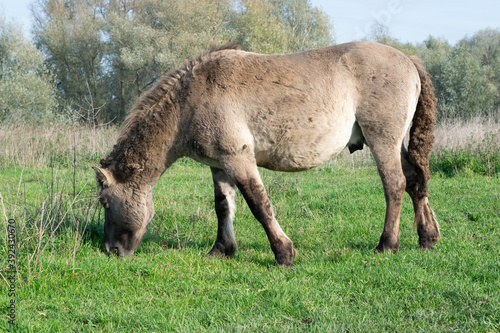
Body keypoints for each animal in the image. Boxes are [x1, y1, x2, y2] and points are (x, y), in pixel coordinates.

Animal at [93, 41, 438, 266]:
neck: (189, 102)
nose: (110, 250)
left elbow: (259, 204)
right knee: (415, 181)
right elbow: (223, 207)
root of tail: (408, 59)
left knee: (394, 185)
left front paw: (283, 253)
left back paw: (387, 245)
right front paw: (222, 249)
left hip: (383, 142)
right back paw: (427, 237)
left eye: (104, 202)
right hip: (397, 144)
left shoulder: (239, 158)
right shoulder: (219, 165)